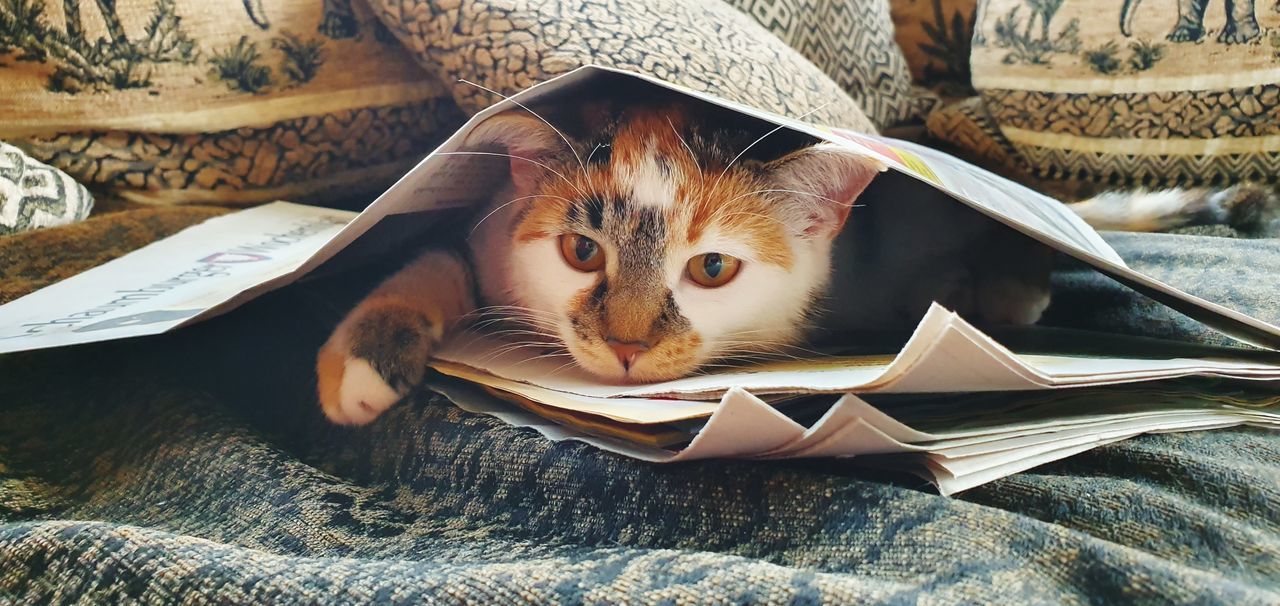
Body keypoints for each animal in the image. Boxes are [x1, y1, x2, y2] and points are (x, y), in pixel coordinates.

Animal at [314, 93, 1274, 425]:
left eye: (712, 271)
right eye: (580, 251)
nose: (625, 345)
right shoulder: (484, 229)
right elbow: (433, 256)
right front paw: (362, 361)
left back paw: (1008, 287)